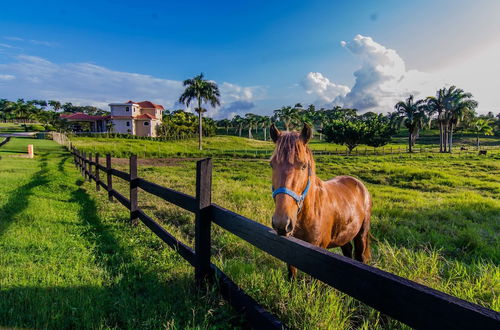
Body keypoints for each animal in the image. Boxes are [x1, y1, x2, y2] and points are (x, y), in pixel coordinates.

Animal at [270, 124, 372, 278]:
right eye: (272, 165)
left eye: (304, 166)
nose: (281, 224)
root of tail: (358, 183)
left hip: (361, 236)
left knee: (360, 256)